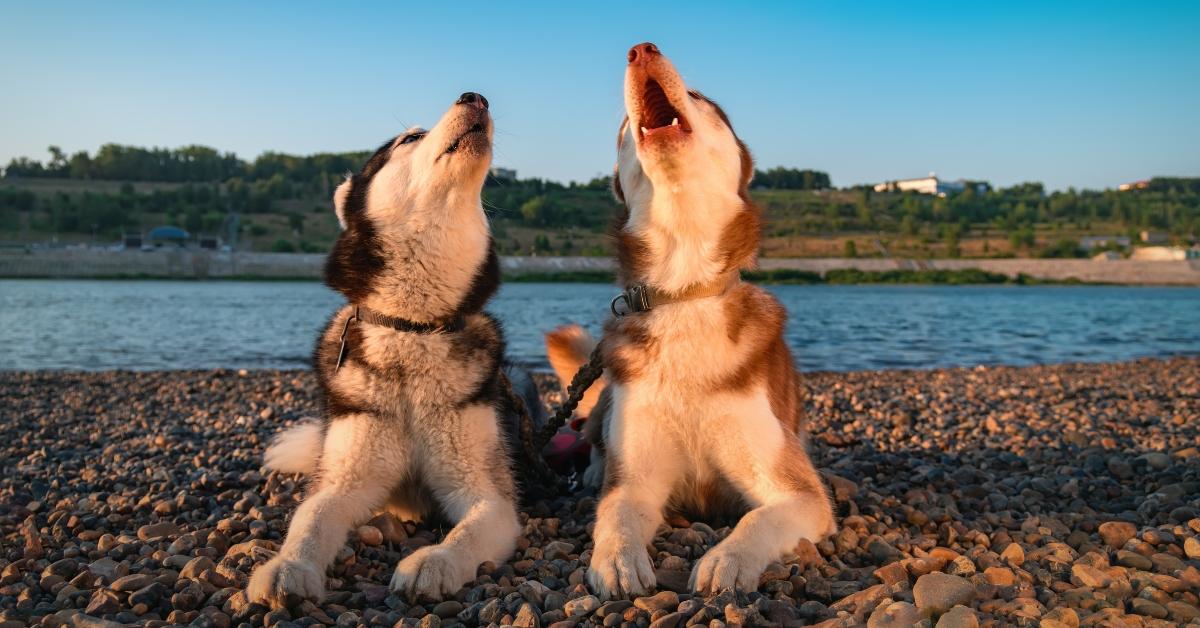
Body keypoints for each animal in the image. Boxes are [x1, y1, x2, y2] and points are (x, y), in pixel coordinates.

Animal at [244, 90, 530, 607]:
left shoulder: (490, 495)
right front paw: (286, 566)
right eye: (410, 139)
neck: (413, 329)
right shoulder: (344, 479)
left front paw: (433, 562)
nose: (475, 96)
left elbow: (468, 531)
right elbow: (310, 520)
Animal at [547, 42, 835, 600]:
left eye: (701, 97)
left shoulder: (800, 493)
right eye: (622, 126)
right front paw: (617, 559)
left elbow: (759, 518)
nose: (641, 49)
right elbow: (615, 514)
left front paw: (728, 559)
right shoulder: (636, 479)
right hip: (608, 394)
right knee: (593, 434)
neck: (683, 293)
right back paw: (591, 470)